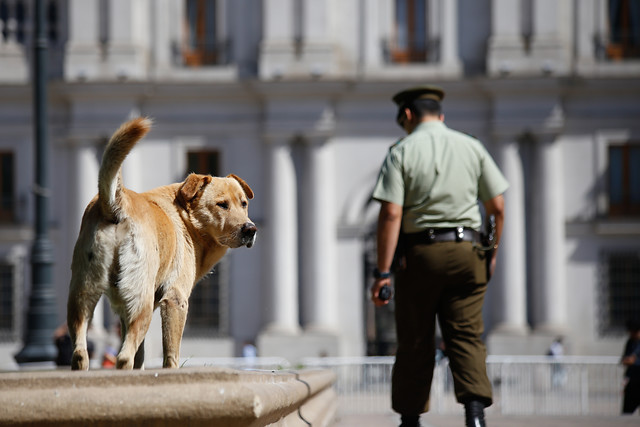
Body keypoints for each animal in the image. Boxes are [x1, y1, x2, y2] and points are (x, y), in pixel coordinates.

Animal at [65, 118, 255, 372]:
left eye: (243, 203)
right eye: (222, 204)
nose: (250, 229)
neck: (184, 216)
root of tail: (115, 202)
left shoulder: (124, 311)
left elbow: (141, 356)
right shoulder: (175, 300)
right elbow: (170, 356)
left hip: (82, 294)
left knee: (81, 353)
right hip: (141, 302)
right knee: (123, 357)